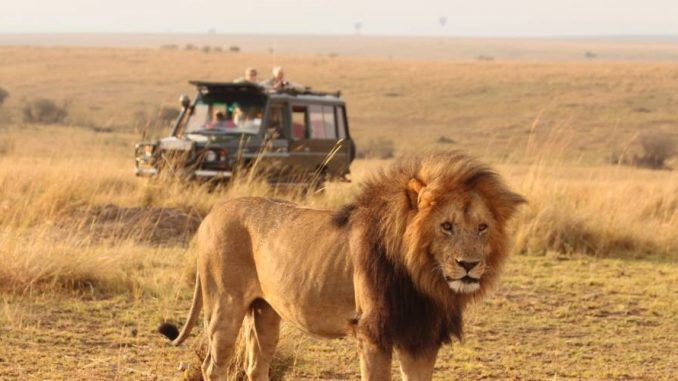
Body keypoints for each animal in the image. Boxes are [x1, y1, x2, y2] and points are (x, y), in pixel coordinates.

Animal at [159, 151, 524, 380]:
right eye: (446, 226)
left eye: (482, 228)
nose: (469, 265)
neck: (422, 280)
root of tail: (212, 213)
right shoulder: (372, 333)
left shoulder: (421, 337)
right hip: (224, 304)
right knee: (213, 366)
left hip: (265, 312)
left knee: (255, 366)